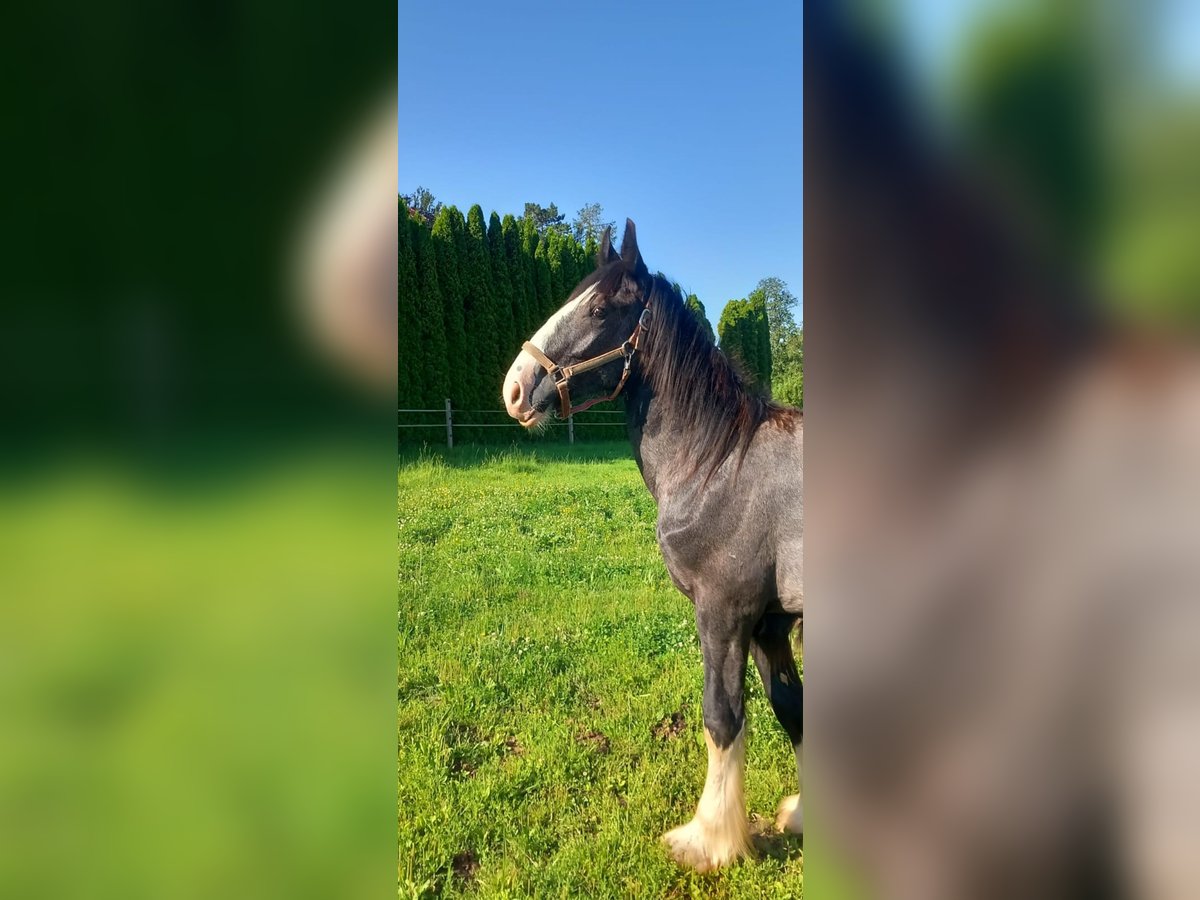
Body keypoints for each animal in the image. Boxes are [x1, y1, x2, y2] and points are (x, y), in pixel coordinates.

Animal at [501, 220, 801, 873]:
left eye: (599, 307)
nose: (514, 388)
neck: (719, 465)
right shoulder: (769, 623)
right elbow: (793, 708)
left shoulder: (724, 614)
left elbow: (722, 717)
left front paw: (709, 840)